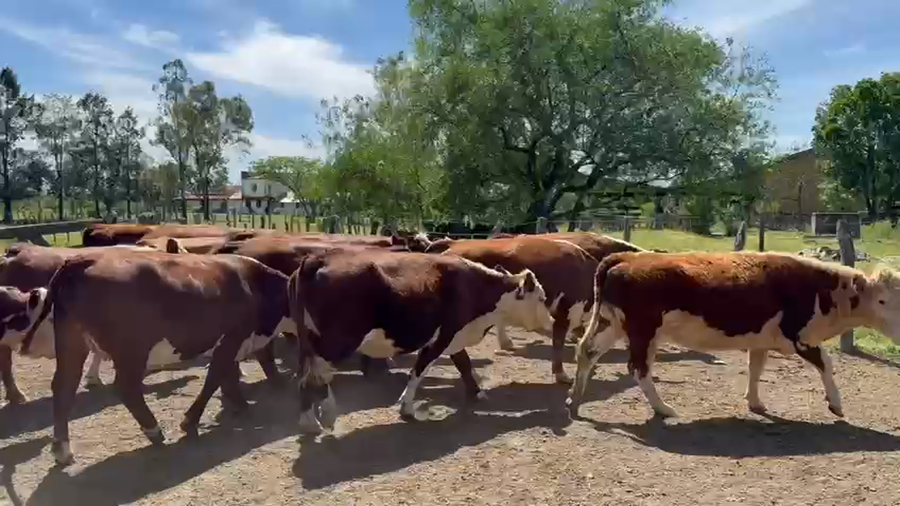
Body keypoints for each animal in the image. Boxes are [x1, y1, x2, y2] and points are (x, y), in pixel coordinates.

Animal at [14, 248, 295, 466]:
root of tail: (83, 259)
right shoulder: (232, 338)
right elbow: (216, 377)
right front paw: (191, 421)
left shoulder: (233, 343)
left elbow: (232, 375)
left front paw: (242, 404)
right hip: (132, 349)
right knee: (126, 388)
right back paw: (154, 431)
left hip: (72, 343)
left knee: (63, 387)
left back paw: (62, 449)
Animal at [290, 249, 554, 434]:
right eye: (542, 298)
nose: (553, 321)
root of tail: (317, 259)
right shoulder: (442, 336)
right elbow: (420, 370)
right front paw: (406, 408)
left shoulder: (454, 336)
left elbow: (464, 363)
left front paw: (477, 392)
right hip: (337, 342)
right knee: (315, 375)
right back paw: (318, 419)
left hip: (308, 341)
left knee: (306, 373)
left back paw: (311, 420)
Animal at [565, 251, 900, 420]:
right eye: (883, 301)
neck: (820, 289)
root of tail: (624, 258)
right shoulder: (799, 337)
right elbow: (826, 364)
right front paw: (836, 404)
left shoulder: (762, 339)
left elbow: (756, 369)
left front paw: (755, 402)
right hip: (643, 331)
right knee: (639, 369)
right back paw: (663, 408)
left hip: (612, 324)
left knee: (587, 350)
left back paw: (574, 399)